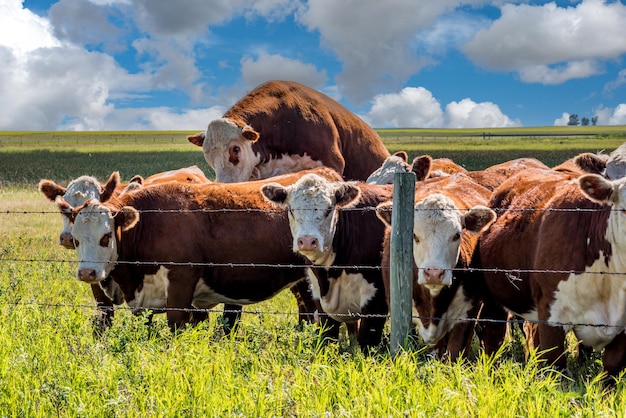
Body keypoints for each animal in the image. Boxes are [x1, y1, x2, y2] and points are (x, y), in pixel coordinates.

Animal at [260, 171, 390, 352]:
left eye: (329, 209)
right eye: (291, 209)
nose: (307, 241)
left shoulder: (376, 301)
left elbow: (366, 341)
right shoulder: (318, 297)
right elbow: (328, 336)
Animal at [476, 168, 626, 384]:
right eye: (624, 209)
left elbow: (611, 373)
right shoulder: (551, 315)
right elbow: (556, 368)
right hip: (494, 296)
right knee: (491, 332)